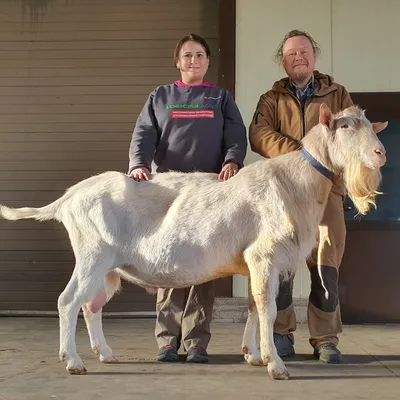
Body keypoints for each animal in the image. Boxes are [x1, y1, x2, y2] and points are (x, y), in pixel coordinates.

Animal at [0, 103, 388, 378]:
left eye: (370, 125)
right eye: (345, 126)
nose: (381, 153)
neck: (295, 181)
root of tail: (69, 197)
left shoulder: (253, 264)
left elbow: (253, 307)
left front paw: (253, 355)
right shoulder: (264, 256)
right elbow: (268, 308)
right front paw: (275, 364)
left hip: (108, 267)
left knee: (91, 306)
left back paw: (105, 354)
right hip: (91, 254)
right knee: (67, 301)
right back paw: (73, 361)